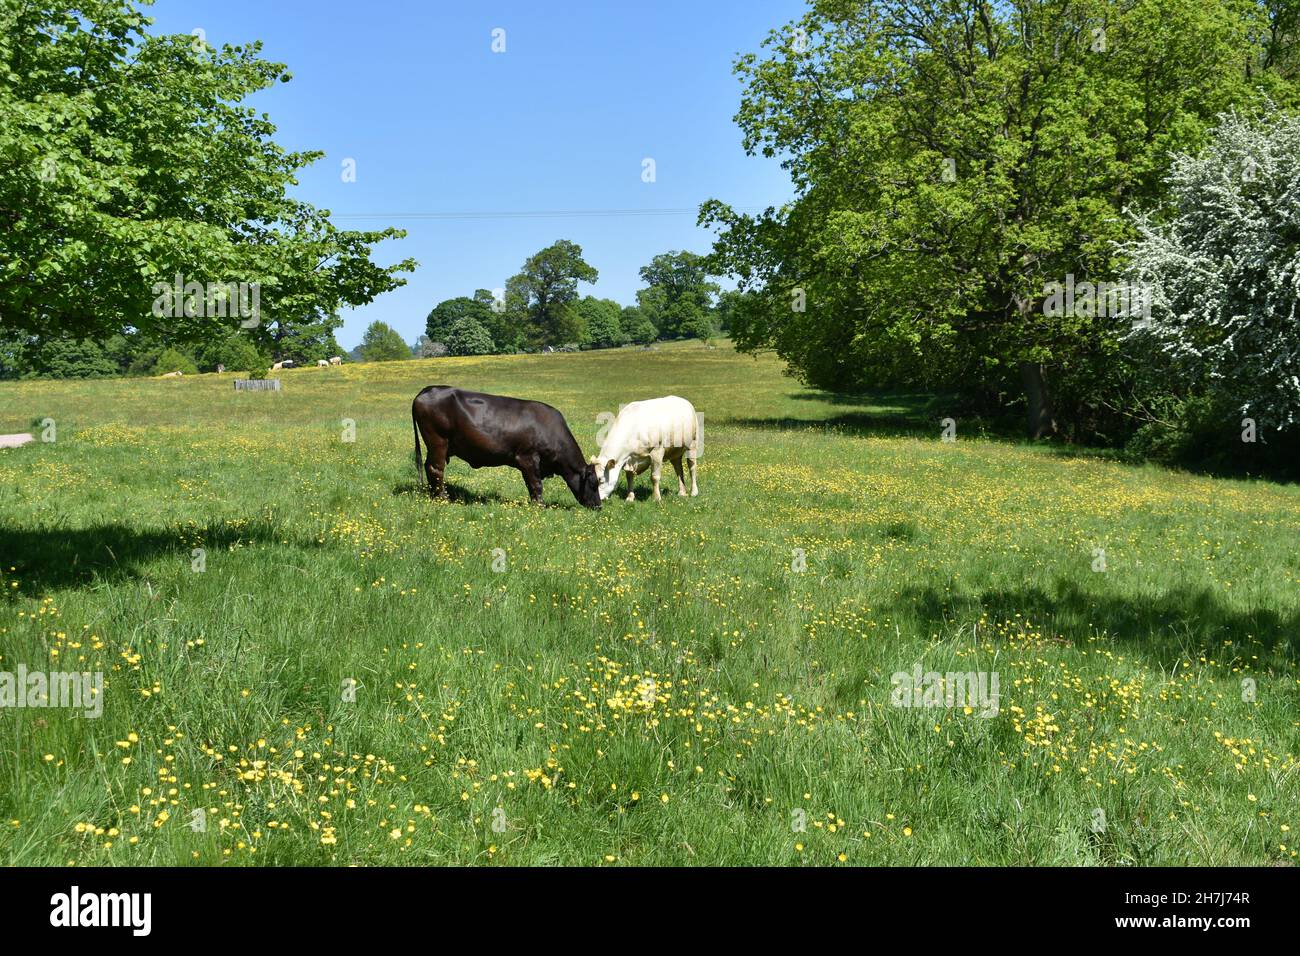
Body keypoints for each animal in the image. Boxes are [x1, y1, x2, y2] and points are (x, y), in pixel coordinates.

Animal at [412, 386, 601, 509]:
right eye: (594, 483)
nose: (599, 507)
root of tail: (428, 389)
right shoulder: (527, 458)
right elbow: (536, 484)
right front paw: (540, 506)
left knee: (429, 466)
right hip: (438, 440)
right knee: (436, 468)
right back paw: (442, 498)